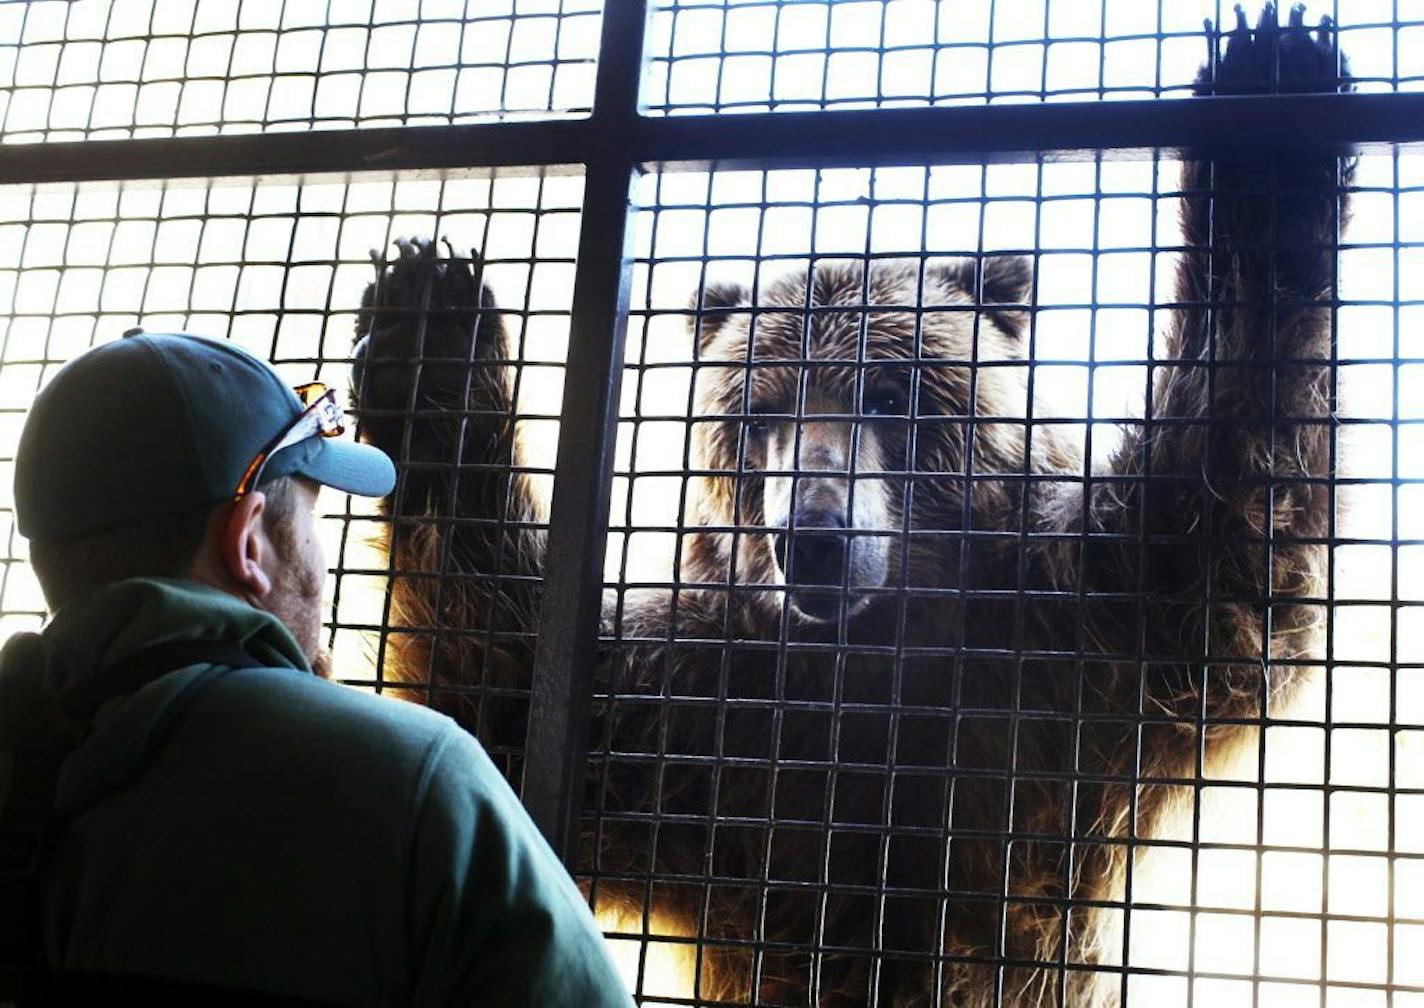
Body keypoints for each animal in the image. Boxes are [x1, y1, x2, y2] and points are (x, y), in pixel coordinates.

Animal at [350, 5, 1349, 1002]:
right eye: (762, 411)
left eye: (890, 395)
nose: (816, 533)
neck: (872, 668)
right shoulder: (695, 725)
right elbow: (501, 698)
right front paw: (428, 329)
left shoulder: (1065, 675)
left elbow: (1220, 541)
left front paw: (1269, 122)